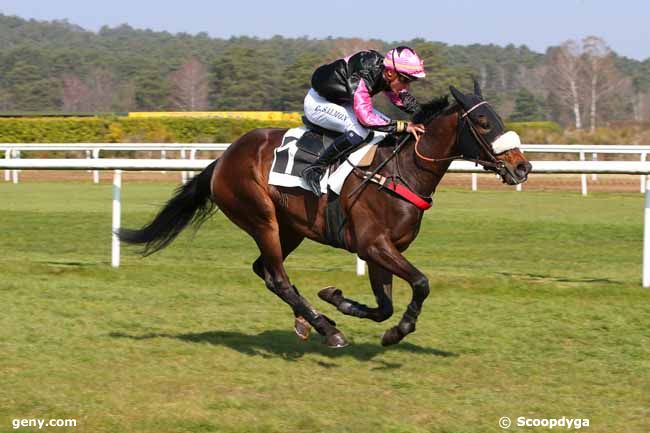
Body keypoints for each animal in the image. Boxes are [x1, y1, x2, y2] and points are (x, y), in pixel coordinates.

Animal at [120, 82, 532, 348]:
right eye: (484, 123)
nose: (522, 167)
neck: (399, 170)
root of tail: (222, 159)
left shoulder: (381, 250)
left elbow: (383, 306)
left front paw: (340, 300)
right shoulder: (373, 244)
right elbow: (421, 283)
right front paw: (397, 330)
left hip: (291, 229)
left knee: (265, 271)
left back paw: (310, 320)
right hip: (261, 219)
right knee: (278, 277)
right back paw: (325, 328)